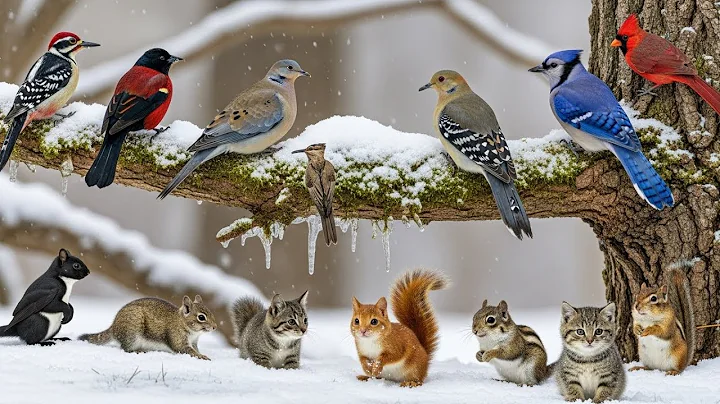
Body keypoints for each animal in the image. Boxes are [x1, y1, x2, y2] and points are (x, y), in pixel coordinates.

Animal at [79, 295, 217, 360]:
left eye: (211, 312)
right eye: (201, 317)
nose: (215, 327)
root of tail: (114, 328)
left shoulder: (194, 342)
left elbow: (195, 349)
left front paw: (201, 354)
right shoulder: (177, 337)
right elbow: (184, 349)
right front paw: (201, 357)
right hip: (132, 333)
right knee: (125, 348)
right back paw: (138, 351)